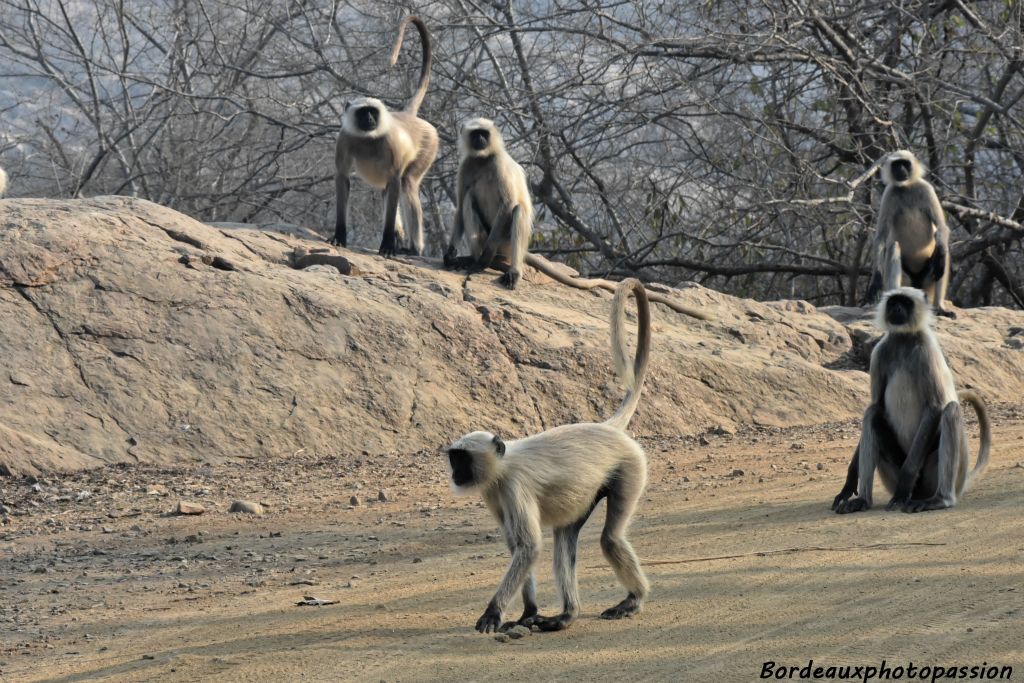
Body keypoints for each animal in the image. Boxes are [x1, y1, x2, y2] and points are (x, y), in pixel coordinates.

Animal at [331, 18, 436, 259]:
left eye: (373, 112)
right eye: (363, 113)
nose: (370, 119)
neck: (368, 138)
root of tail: (408, 116)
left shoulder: (391, 144)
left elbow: (396, 181)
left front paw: (387, 243)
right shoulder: (345, 139)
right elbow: (343, 177)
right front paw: (340, 235)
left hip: (429, 145)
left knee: (406, 183)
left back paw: (413, 248)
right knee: (385, 191)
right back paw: (400, 236)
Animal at [444, 278, 651, 634]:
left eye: (461, 459)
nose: (455, 474)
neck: (504, 463)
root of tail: (607, 427)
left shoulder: (513, 485)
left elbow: (528, 548)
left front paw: (493, 613)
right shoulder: (493, 490)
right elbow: (518, 547)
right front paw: (528, 611)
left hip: (630, 467)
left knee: (610, 538)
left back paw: (632, 600)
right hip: (587, 493)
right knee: (565, 538)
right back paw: (567, 615)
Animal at [831, 286, 991, 516]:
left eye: (905, 303)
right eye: (894, 302)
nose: (897, 308)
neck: (904, 339)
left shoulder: (926, 349)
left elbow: (935, 407)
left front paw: (905, 482)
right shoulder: (880, 352)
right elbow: (877, 404)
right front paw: (849, 482)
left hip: (945, 474)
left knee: (951, 410)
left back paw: (939, 499)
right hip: (892, 474)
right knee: (872, 413)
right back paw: (862, 500)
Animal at [864, 149, 958, 317]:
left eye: (905, 164)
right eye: (897, 164)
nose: (901, 170)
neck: (906, 187)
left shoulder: (926, 189)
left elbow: (941, 227)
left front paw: (941, 257)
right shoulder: (889, 193)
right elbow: (881, 237)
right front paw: (876, 280)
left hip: (927, 283)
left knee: (942, 252)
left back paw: (940, 308)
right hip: (906, 280)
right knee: (894, 247)